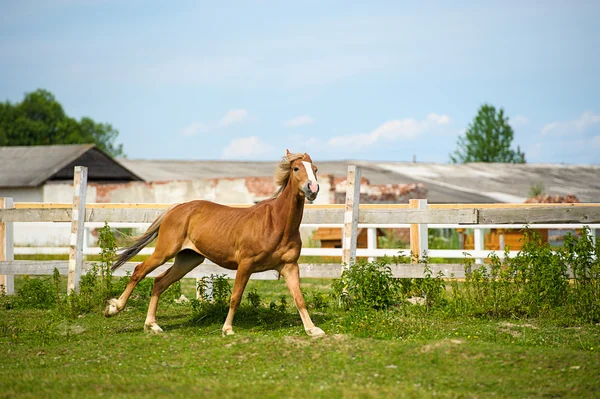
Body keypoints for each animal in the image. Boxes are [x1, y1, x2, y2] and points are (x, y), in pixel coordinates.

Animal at [105, 150, 326, 338]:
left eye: (315, 169)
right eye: (296, 168)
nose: (313, 189)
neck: (276, 224)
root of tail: (177, 208)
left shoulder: (289, 266)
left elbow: (299, 298)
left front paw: (313, 330)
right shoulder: (245, 264)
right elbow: (235, 297)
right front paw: (227, 329)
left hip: (188, 260)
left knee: (159, 282)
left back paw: (152, 325)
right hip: (164, 252)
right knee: (139, 271)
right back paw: (113, 309)